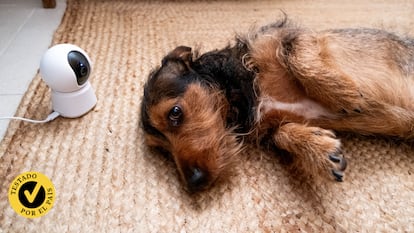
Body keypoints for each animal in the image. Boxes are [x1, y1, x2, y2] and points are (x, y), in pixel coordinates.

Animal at [140, 15, 414, 191]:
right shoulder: (279, 121)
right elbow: (282, 134)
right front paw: (318, 149)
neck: (249, 88)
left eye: (175, 113)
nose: (194, 185)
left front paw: (342, 93)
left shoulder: (290, 36)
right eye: (162, 148)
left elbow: (295, 54)